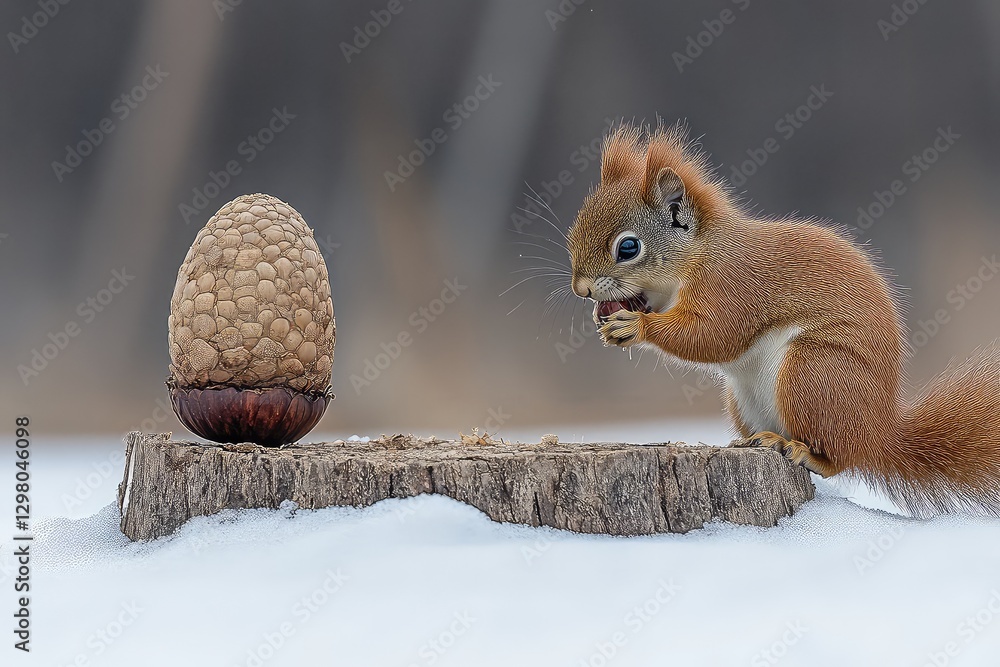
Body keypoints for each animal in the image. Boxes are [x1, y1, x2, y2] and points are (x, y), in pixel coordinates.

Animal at [566, 122, 1000, 518]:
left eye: (628, 248)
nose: (581, 289)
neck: (697, 255)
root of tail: (877, 433)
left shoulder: (731, 285)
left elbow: (713, 335)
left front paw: (635, 327)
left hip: (813, 373)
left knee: (839, 458)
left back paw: (800, 451)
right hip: (743, 400)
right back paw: (756, 441)